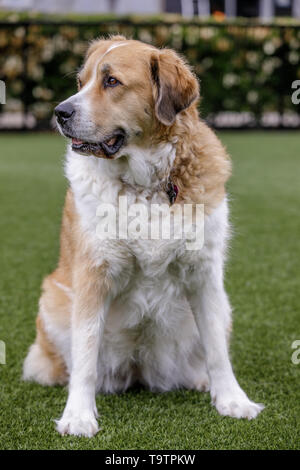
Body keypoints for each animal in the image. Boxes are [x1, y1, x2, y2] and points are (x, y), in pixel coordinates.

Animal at [22, 35, 262, 436]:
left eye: (111, 82)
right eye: (81, 82)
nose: (60, 113)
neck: (146, 185)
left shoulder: (204, 275)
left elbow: (217, 348)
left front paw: (232, 400)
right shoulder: (93, 275)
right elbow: (85, 353)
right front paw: (78, 414)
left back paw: (202, 381)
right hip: (53, 301)